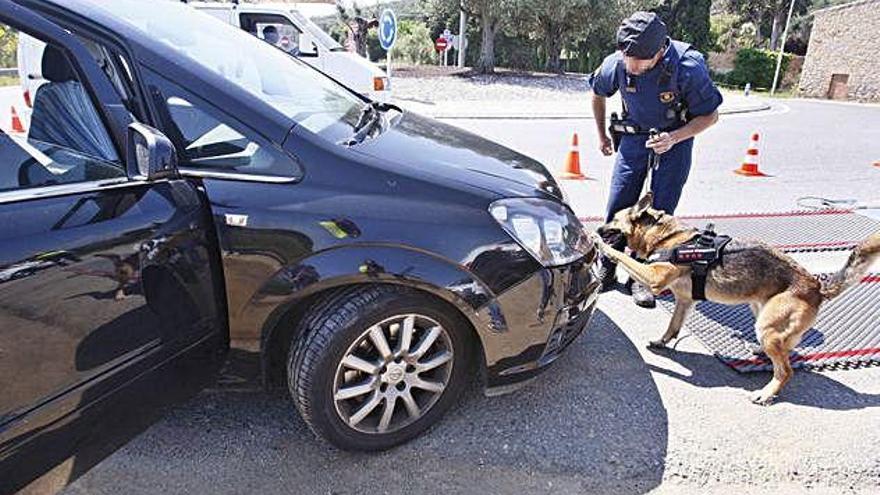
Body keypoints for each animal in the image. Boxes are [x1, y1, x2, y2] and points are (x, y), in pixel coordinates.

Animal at [592, 192, 880, 404]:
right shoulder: (684, 302)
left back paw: (767, 393)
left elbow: (623, 255)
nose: (598, 226)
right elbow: (673, 327)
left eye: (613, 219)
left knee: (785, 370)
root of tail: (816, 286)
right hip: (760, 313)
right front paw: (663, 342)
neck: (667, 236)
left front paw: (597, 241)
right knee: (785, 350)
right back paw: (760, 351)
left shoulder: (653, 277)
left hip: (767, 324)